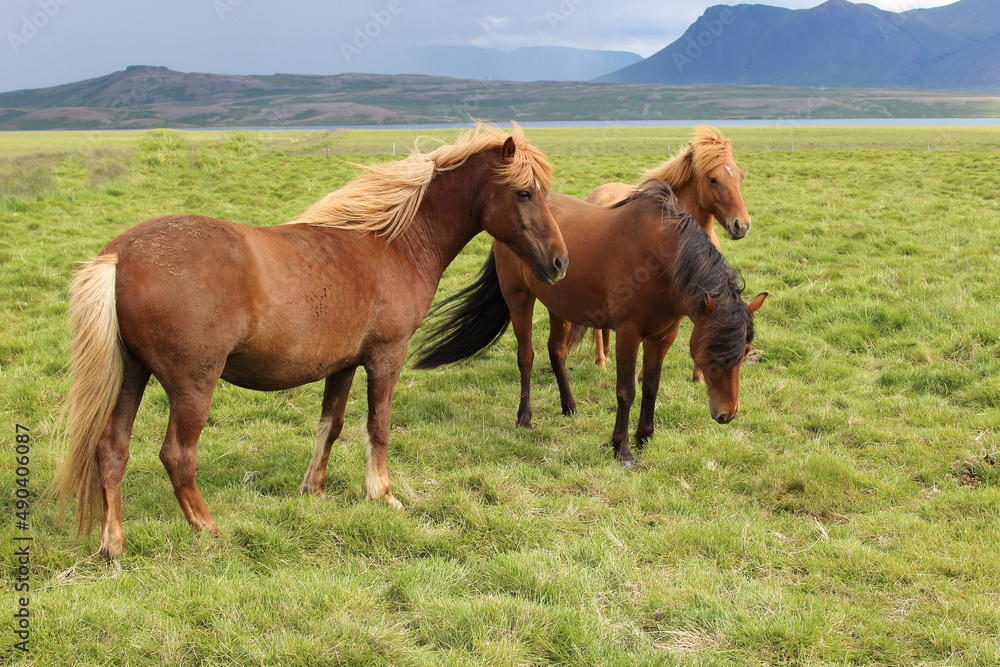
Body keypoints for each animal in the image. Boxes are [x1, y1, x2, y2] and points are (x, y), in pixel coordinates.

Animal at [52, 124, 572, 560]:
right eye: (524, 193)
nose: (560, 263)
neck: (389, 243)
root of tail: (121, 255)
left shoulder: (342, 364)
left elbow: (331, 425)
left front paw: (315, 490)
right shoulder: (386, 356)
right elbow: (378, 426)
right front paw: (382, 494)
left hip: (131, 376)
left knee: (111, 450)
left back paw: (113, 544)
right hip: (192, 384)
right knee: (177, 456)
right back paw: (209, 530)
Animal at [414, 180, 764, 468]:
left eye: (745, 354)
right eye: (714, 356)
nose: (727, 414)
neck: (661, 258)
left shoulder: (663, 335)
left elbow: (651, 385)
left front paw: (645, 437)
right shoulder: (628, 332)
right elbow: (626, 390)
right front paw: (621, 448)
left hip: (559, 304)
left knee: (556, 351)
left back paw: (569, 406)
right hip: (519, 298)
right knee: (526, 356)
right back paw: (525, 418)